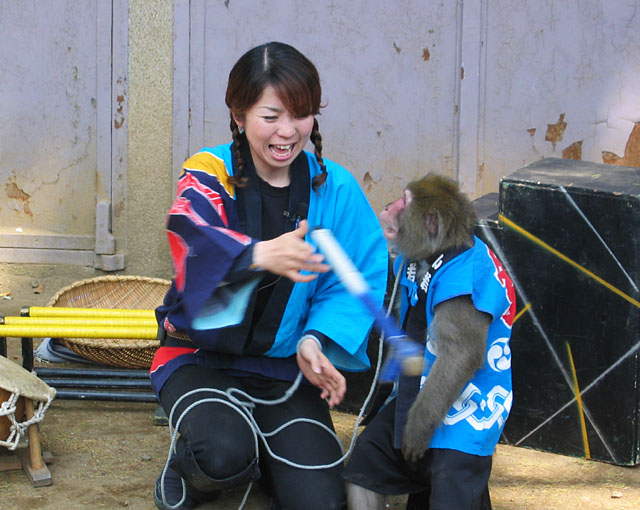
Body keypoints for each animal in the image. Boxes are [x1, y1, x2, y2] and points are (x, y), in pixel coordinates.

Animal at [340, 174, 516, 510]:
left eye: (405, 201)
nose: (387, 205)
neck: (439, 254)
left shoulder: (460, 287)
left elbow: (459, 355)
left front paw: (418, 427)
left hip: (458, 459)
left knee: (452, 486)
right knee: (366, 472)